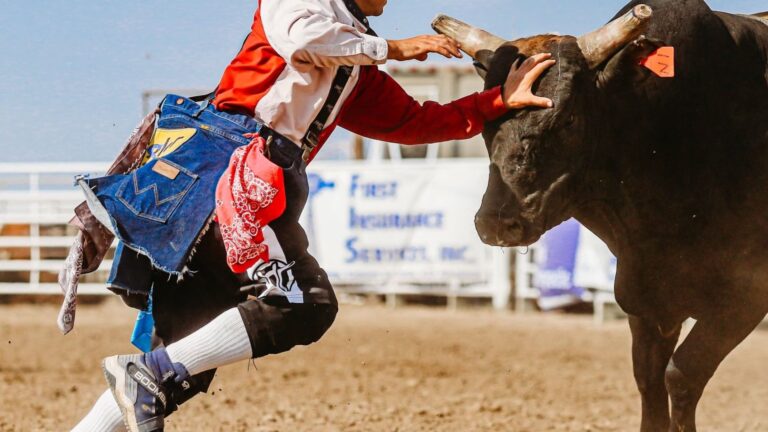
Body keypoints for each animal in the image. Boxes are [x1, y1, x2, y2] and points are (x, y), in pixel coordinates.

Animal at [435, 1, 768, 431]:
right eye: (487, 124)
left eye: (570, 119)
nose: (496, 221)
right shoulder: (645, 301)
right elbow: (650, 385)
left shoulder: (744, 296)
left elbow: (681, 376)